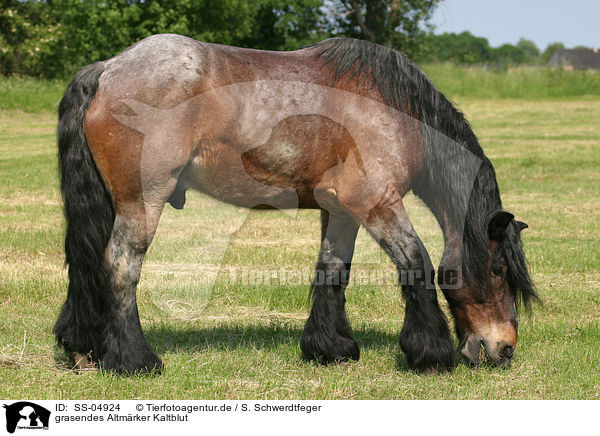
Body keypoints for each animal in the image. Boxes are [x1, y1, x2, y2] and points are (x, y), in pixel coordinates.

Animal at [54, 35, 536, 374]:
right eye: (498, 268)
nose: (504, 349)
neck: (397, 111)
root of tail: (107, 69)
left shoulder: (342, 212)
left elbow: (333, 272)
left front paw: (330, 349)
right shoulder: (378, 204)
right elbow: (415, 262)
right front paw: (431, 353)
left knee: (89, 264)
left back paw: (85, 351)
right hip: (142, 202)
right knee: (120, 266)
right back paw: (135, 360)